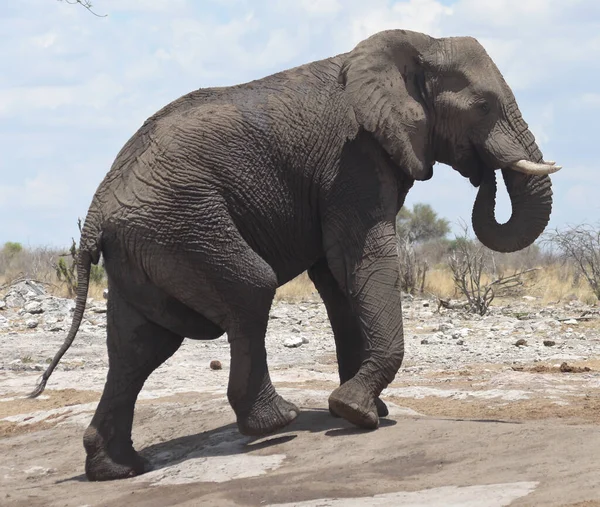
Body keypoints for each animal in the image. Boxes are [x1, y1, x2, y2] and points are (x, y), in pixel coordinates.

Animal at [31, 29, 556, 482]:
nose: (483, 174)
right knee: (249, 289)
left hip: (145, 245)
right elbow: (361, 260)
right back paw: (275, 422)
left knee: (138, 345)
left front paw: (362, 410)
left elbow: (339, 282)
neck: (415, 46)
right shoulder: (354, 158)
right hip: (180, 222)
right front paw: (355, 412)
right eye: (483, 106)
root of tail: (96, 213)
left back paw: (117, 470)